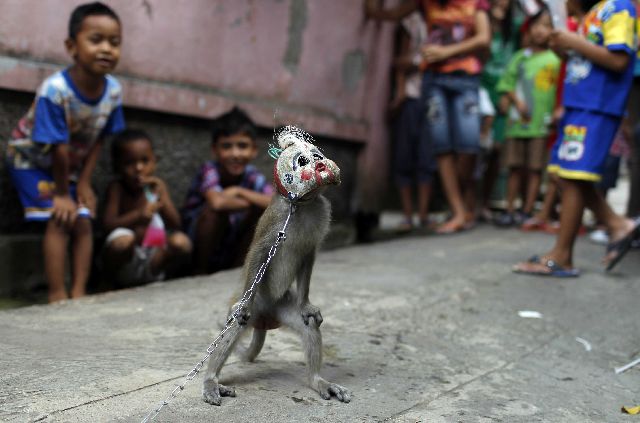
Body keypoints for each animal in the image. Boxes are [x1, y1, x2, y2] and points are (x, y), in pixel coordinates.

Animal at [201, 126, 352, 408]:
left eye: (317, 155)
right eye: (302, 161)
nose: (320, 164)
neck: (302, 205)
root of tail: (266, 316)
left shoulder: (322, 212)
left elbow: (308, 255)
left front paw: (306, 304)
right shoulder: (277, 220)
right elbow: (259, 254)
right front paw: (241, 307)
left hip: (282, 305)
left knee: (308, 325)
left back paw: (317, 380)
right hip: (258, 301)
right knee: (237, 322)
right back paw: (210, 379)